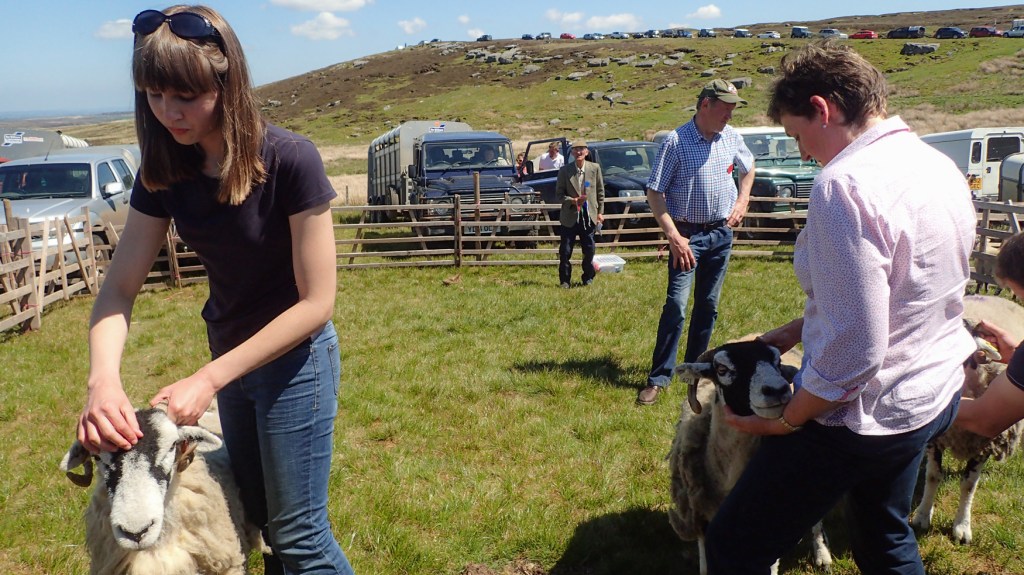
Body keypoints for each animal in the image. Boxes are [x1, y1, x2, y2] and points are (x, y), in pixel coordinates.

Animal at [668, 337, 832, 575]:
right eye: (722, 369)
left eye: (777, 362)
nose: (777, 390)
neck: (728, 474)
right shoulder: (701, 517)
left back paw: (822, 555)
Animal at [910, 294, 1024, 544]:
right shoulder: (937, 438)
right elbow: (933, 476)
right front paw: (923, 515)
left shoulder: (985, 440)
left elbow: (969, 485)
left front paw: (962, 526)